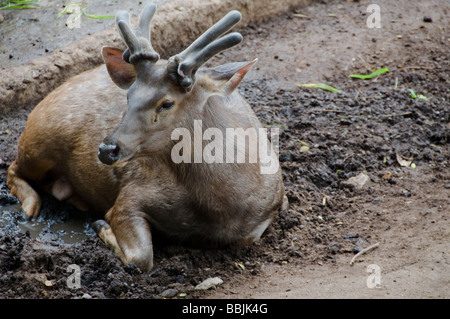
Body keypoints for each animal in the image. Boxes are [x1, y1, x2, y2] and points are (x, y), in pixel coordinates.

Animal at [7, 3, 284, 272]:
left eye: (167, 103)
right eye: (129, 96)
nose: (106, 149)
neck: (222, 211)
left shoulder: (271, 211)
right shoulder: (132, 195)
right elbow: (141, 257)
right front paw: (101, 227)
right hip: (39, 138)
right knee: (13, 167)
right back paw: (30, 207)